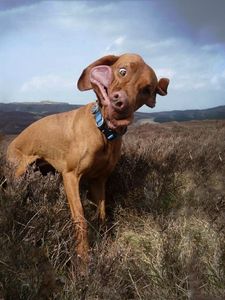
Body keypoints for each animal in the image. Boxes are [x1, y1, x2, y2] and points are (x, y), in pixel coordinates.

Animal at [6, 53, 169, 260]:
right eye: (122, 71)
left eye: (146, 89)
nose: (120, 103)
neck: (103, 132)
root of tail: (12, 143)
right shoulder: (70, 177)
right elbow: (80, 220)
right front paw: (83, 259)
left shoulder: (99, 181)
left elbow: (102, 215)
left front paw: (104, 243)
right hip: (18, 173)